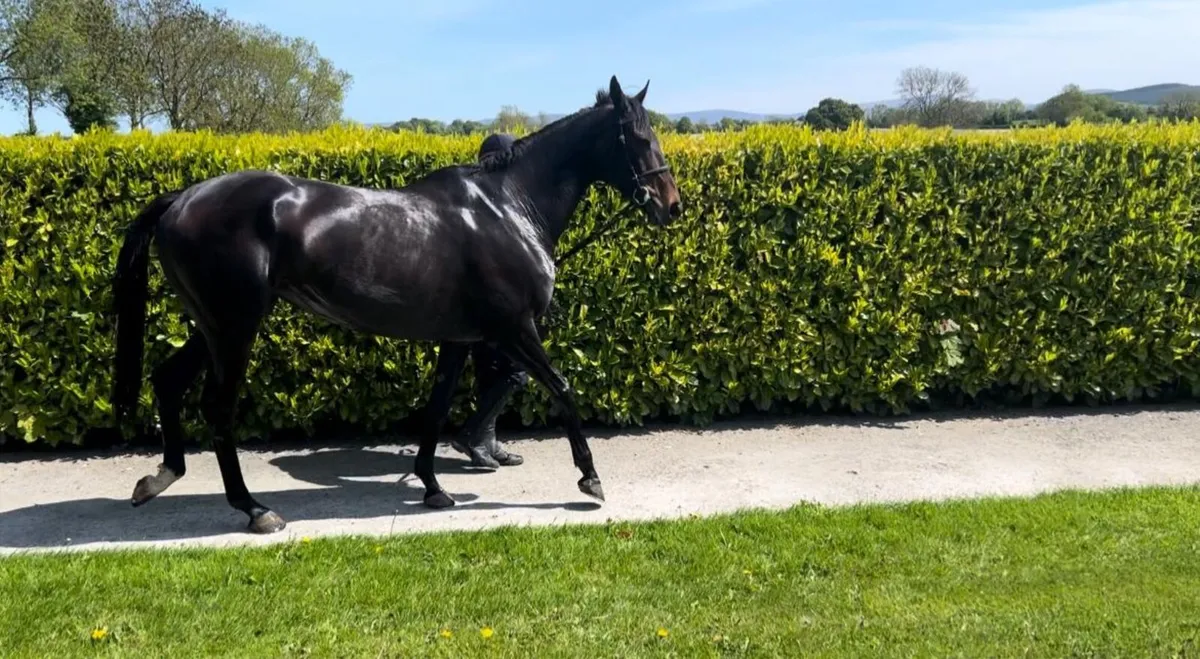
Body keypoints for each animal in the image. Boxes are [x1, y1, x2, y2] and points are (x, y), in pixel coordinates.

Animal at [110, 75, 682, 534]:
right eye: (638, 137)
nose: (671, 206)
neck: (506, 209)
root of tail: (181, 200)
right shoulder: (515, 330)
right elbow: (562, 388)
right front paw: (590, 478)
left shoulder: (459, 338)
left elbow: (436, 407)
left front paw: (432, 486)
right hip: (235, 327)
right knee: (217, 408)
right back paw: (255, 509)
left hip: (213, 326)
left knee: (167, 380)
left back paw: (158, 478)